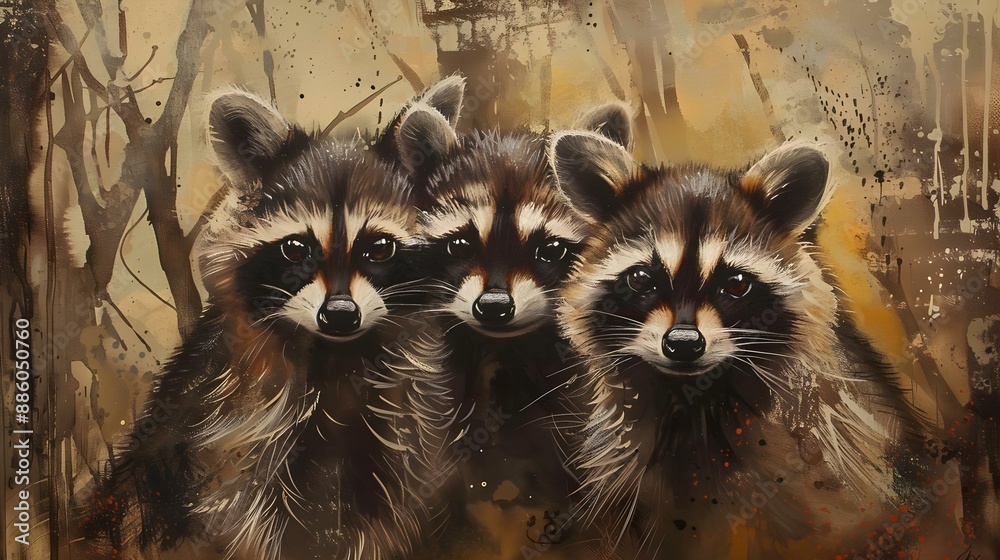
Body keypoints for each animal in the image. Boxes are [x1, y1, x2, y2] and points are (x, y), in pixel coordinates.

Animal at [79, 83, 462, 560]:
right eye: (296, 248)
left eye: (380, 248)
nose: (339, 315)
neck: (334, 355)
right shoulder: (234, 425)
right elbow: (239, 509)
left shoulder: (398, 428)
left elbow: (384, 510)